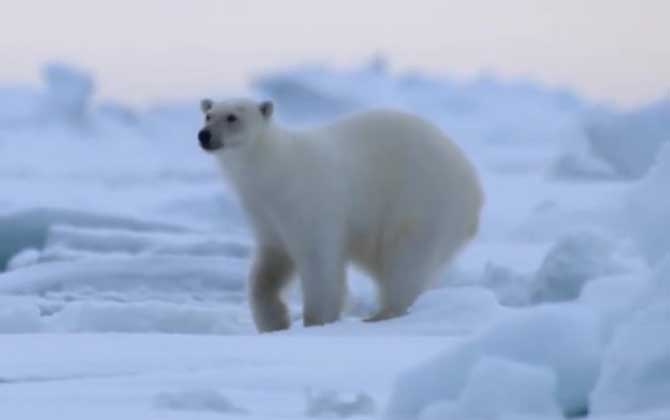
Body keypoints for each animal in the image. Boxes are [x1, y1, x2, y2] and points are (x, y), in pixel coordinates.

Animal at [197, 98, 486, 332]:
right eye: (208, 114)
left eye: (232, 117)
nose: (204, 135)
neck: (272, 167)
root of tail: (475, 190)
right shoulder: (266, 215)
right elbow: (269, 268)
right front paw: (275, 321)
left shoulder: (307, 200)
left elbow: (319, 261)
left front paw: (316, 321)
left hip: (423, 202)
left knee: (407, 259)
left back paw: (382, 314)